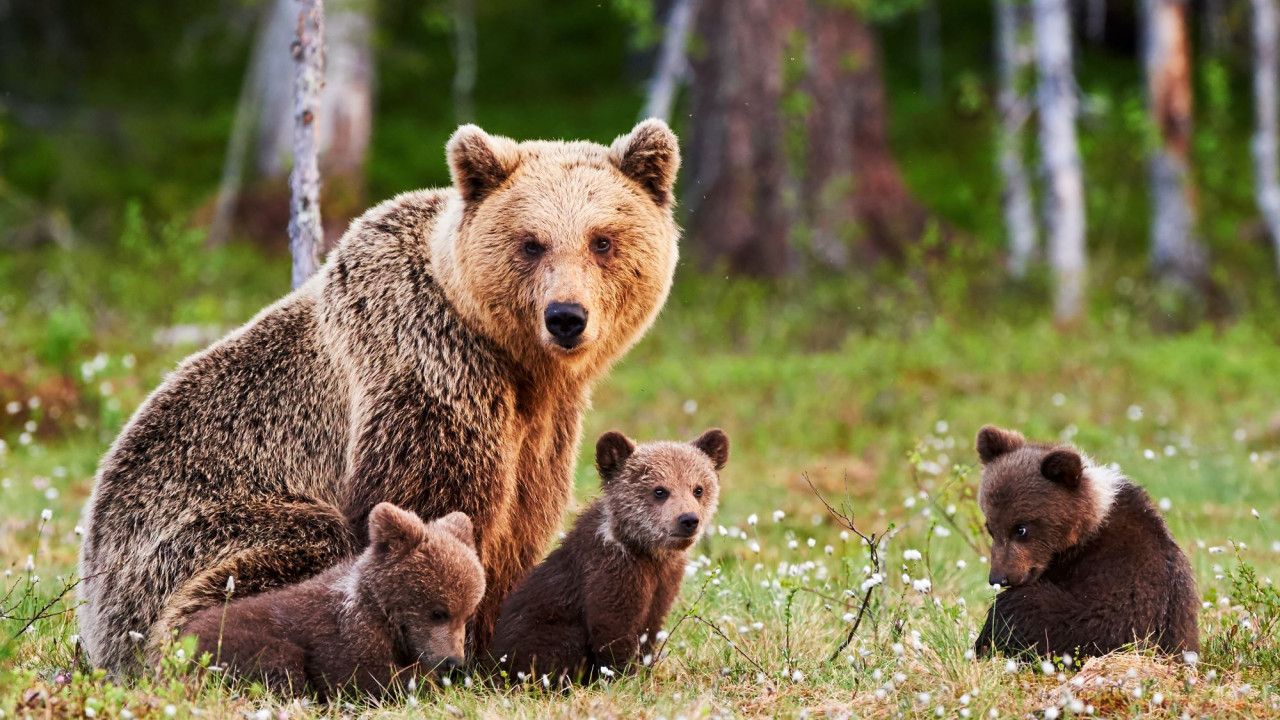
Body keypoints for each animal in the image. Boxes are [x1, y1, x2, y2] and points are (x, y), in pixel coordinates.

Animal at [78, 120, 680, 671]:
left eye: (602, 240)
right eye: (531, 242)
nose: (566, 317)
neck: (513, 360)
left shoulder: (544, 426)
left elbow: (520, 526)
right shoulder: (427, 371)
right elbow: (431, 508)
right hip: (190, 535)